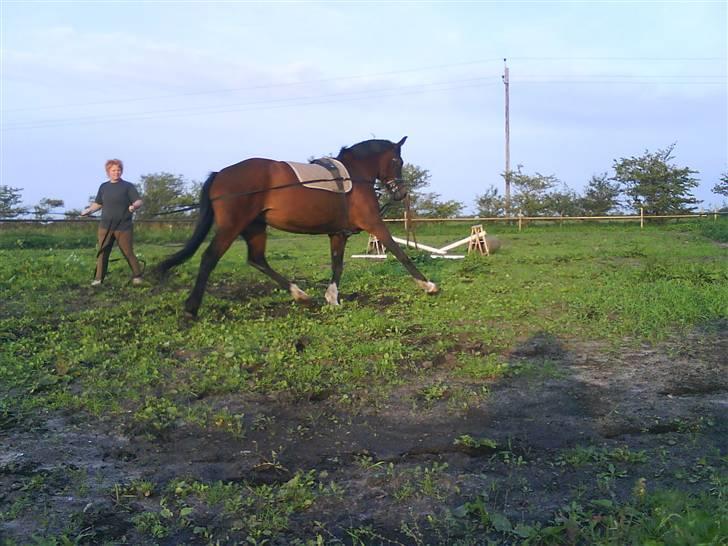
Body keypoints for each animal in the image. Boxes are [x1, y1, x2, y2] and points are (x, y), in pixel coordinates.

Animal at [154, 136, 438, 316]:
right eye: (397, 161)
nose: (401, 193)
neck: (355, 175)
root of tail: (219, 174)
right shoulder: (373, 222)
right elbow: (398, 251)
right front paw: (428, 286)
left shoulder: (338, 233)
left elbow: (337, 264)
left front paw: (332, 299)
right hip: (232, 226)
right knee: (210, 257)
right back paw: (191, 308)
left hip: (254, 227)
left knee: (257, 259)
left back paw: (302, 296)